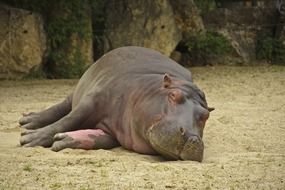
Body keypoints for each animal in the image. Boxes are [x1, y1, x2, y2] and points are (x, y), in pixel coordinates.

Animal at [20, 46, 212, 162]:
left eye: (206, 115)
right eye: (173, 95)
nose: (192, 138)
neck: (150, 87)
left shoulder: (117, 129)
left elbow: (101, 138)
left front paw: (62, 140)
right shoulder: (93, 100)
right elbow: (67, 120)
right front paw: (28, 139)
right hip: (76, 92)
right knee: (62, 108)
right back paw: (27, 121)